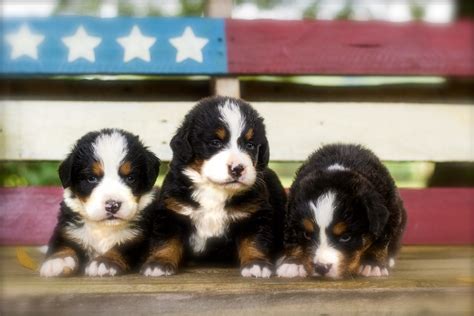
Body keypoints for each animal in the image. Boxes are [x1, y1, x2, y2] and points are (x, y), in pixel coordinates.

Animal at [39, 128, 161, 276]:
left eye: (130, 178)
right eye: (91, 178)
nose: (112, 205)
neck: (104, 228)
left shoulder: (139, 238)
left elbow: (122, 247)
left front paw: (104, 262)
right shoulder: (67, 229)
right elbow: (62, 244)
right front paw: (58, 261)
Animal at [142, 97, 286, 278]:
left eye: (250, 145)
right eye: (216, 143)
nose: (238, 168)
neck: (214, 189)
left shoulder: (255, 214)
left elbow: (254, 241)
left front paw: (256, 264)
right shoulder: (172, 211)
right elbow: (166, 240)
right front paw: (159, 263)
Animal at [278, 144, 408, 278]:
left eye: (346, 237)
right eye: (307, 234)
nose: (321, 267)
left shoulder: (390, 213)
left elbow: (380, 242)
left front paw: (372, 264)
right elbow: (292, 240)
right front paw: (293, 263)